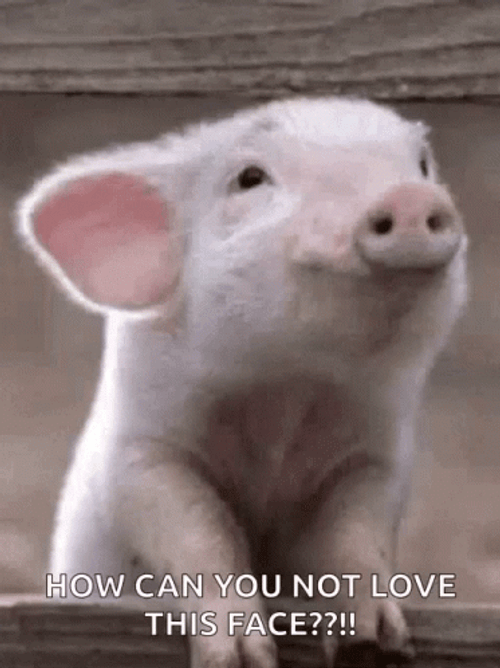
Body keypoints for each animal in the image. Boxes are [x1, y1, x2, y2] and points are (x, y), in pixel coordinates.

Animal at [17, 96, 467, 667]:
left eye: (423, 164)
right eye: (250, 178)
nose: (409, 196)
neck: (288, 392)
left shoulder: (375, 460)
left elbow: (357, 539)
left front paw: (377, 646)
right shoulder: (140, 455)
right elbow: (198, 536)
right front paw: (241, 658)